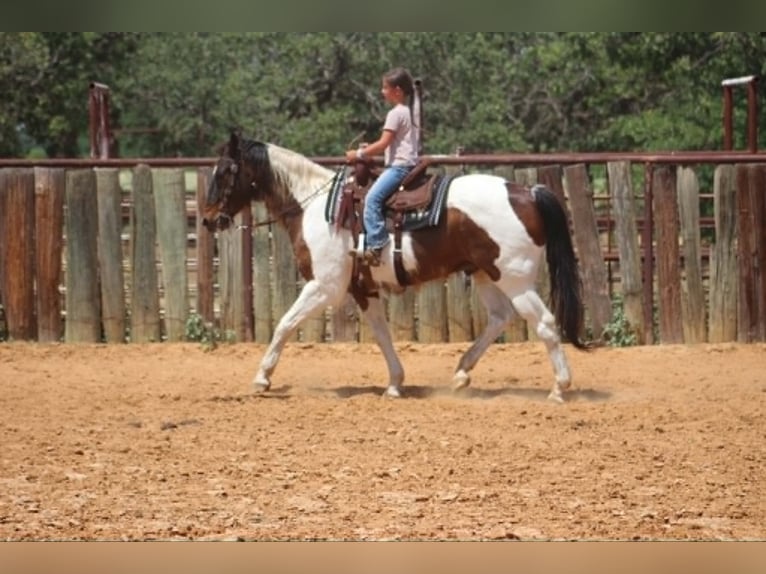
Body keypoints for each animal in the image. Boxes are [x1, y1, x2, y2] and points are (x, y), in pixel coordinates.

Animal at [202, 131, 590, 402]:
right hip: (485, 274)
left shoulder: (325, 287)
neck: (312, 205)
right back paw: (461, 372)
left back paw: (559, 388)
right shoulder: (364, 290)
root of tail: (527, 192)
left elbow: (284, 324)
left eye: (225, 171)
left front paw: (262, 378)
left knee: (545, 323)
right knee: (499, 317)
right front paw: (395, 383)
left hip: (514, 279)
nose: (207, 219)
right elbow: (382, 334)